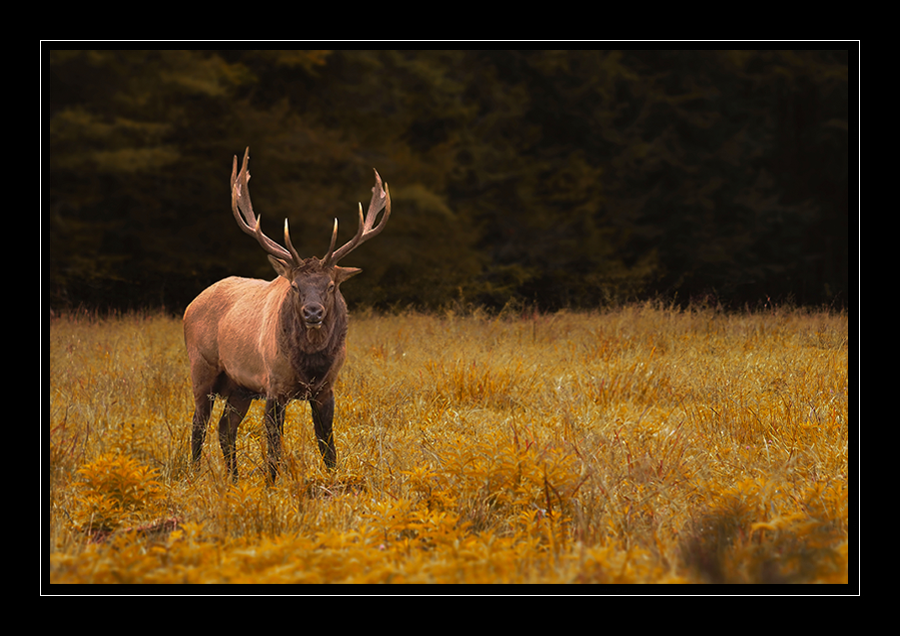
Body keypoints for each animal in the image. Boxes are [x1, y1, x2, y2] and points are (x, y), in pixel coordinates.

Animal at [183, 147, 390, 480]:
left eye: (330, 285)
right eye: (294, 285)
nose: (313, 312)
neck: (310, 366)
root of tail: (191, 305)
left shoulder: (326, 388)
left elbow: (328, 446)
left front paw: (333, 480)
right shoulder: (274, 384)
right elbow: (273, 448)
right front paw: (271, 484)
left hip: (239, 387)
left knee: (225, 427)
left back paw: (234, 478)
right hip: (201, 367)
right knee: (198, 424)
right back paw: (195, 475)